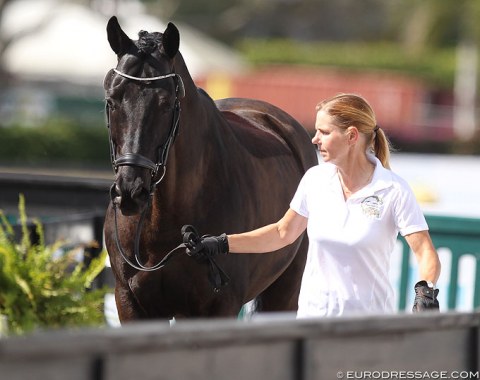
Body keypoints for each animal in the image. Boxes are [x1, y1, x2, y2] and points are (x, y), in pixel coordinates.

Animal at [103, 17, 316, 320]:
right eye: (112, 101)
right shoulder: (131, 303)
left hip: (285, 291)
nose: (131, 192)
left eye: (166, 104)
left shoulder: (219, 306)